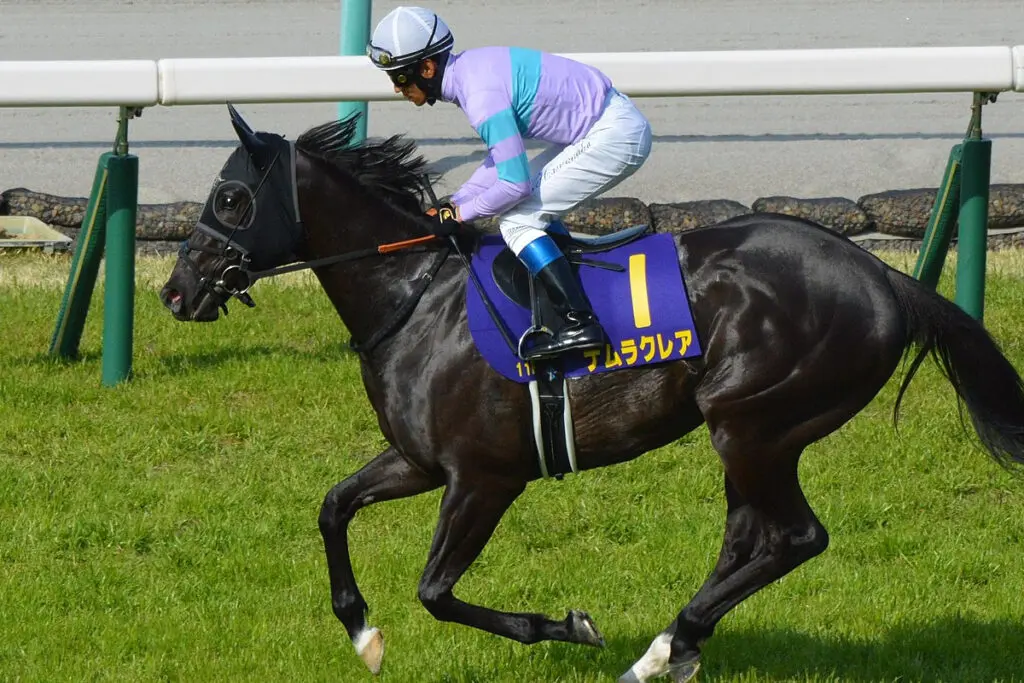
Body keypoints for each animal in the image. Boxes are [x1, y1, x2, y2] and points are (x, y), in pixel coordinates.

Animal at [160, 105, 1024, 683]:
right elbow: (333, 506)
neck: (415, 295)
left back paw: (664, 645)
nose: (175, 290)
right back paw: (672, 647)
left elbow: (437, 589)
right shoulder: (418, 460)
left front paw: (572, 625)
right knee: (750, 536)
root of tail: (881, 275)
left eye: (231, 198)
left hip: (755, 422)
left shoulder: (484, 476)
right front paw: (362, 633)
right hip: (751, 434)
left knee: (796, 536)